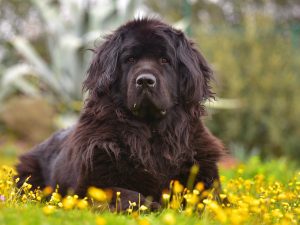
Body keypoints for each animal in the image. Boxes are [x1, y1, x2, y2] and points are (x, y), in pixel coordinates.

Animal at [15, 18, 225, 210]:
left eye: (164, 60)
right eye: (130, 59)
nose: (145, 80)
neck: (151, 133)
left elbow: (211, 199)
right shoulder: (91, 183)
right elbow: (128, 194)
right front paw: (154, 207)